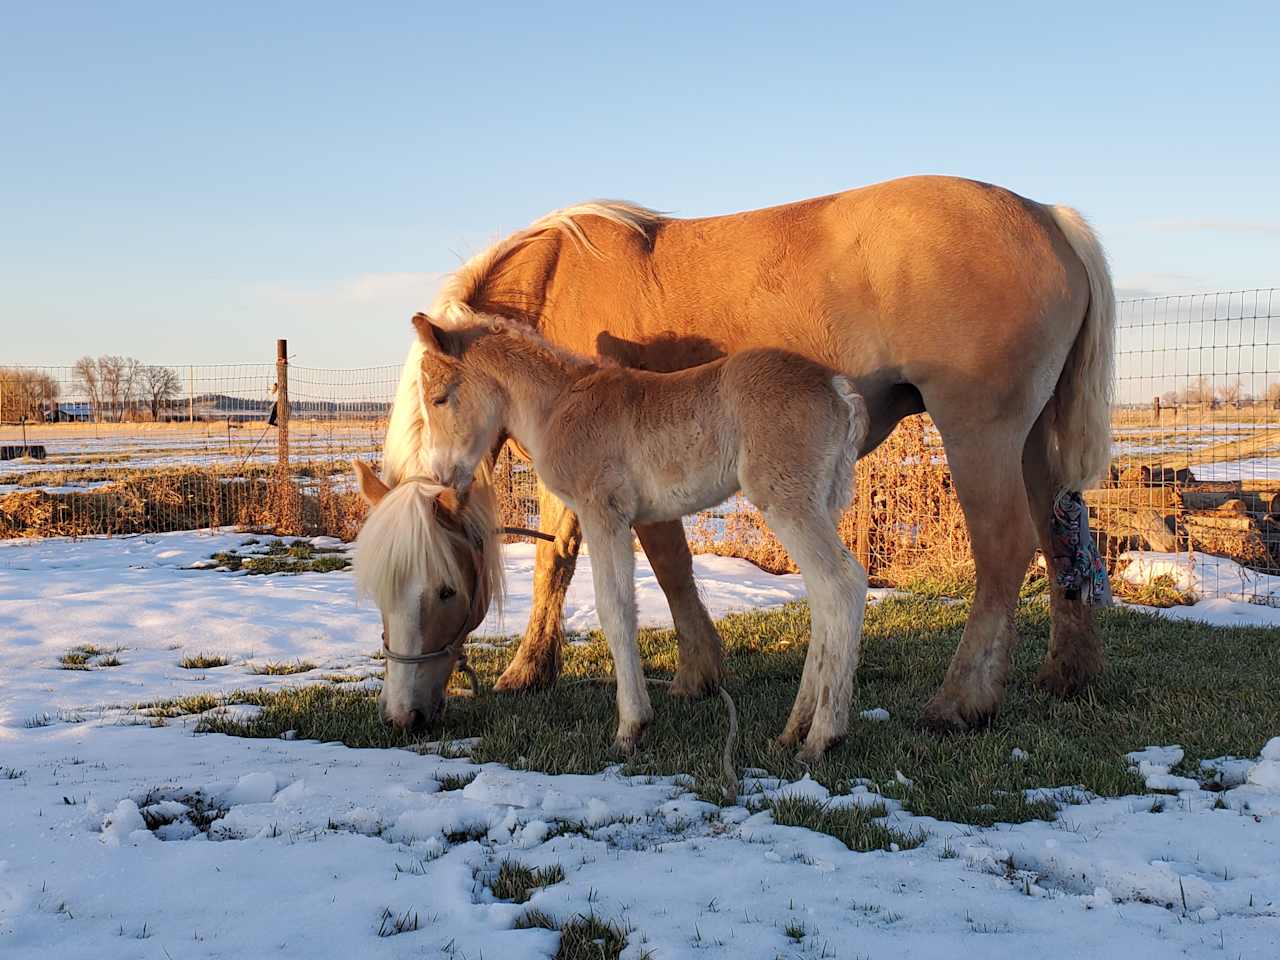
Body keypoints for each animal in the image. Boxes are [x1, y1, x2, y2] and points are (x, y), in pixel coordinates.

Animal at [409, 320, 870, 762]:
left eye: (439, 398)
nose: (442, 479)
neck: (558, 406)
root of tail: (837, 386)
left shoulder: (604, 514)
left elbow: (615, 610)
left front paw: (631, 728)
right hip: (823, 502)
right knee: (822, 600)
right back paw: (792, 731)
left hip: (787, 503)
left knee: (842, 584)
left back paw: (823, 737)